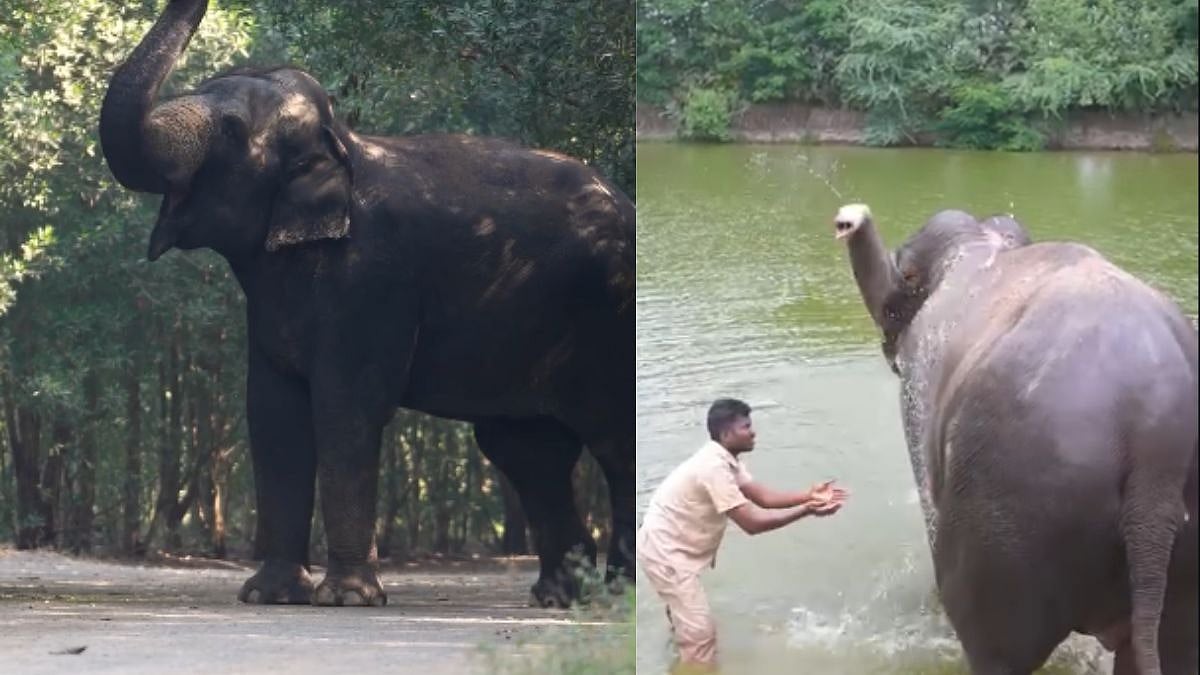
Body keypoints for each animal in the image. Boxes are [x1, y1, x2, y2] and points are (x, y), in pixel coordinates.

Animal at [98, 0, 634, 608]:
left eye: (232, 130)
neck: (342, 143)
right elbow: (272, 411)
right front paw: (269, 595)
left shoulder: (372, 278)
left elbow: (345, 408)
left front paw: (346, 599)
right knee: (527, 449)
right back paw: (561, 597)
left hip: (608, 319)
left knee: (611, 443)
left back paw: (620, 593)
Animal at [833, 204, 1197, 675]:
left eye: (907, 273)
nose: (849, 219)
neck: (980, 247)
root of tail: (1157, 446)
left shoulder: (918, 386)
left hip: (1010, 508)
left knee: (997, 647)